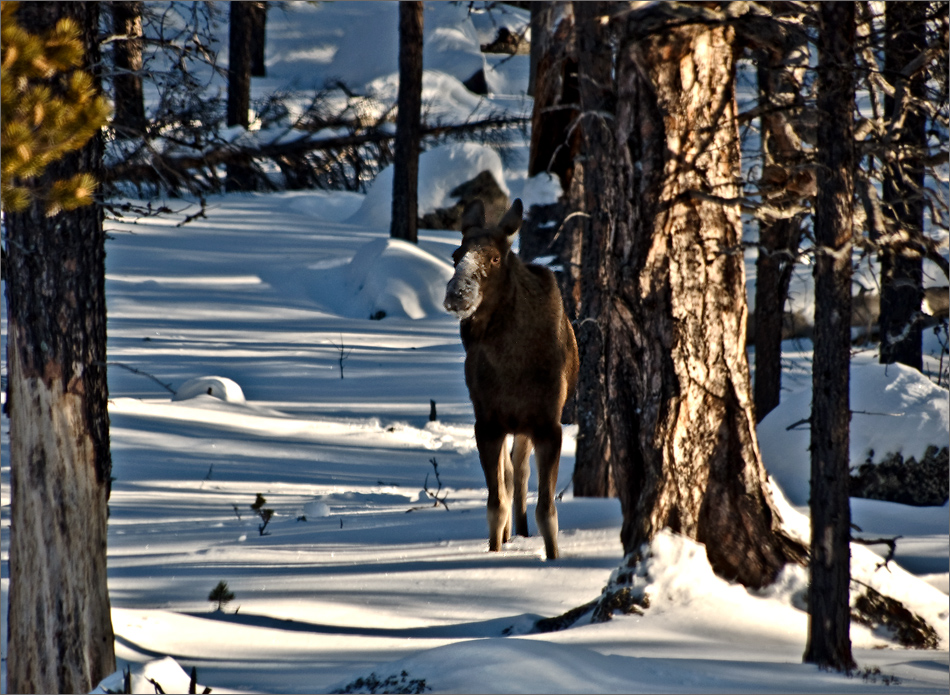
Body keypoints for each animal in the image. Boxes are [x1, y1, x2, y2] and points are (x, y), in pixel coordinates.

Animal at [446, 197, 580, 560]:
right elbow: (495, 504)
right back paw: (510, 534)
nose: (457, 293)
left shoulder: (548, 424)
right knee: (509, 478)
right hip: (509, 425)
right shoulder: (487, 424)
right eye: (455, 255)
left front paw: (553, 557)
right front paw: (494, 550)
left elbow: (546, 509)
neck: (513, 368)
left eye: (495, 257)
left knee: (519, 474)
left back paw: (521, 530)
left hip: (525, 427)